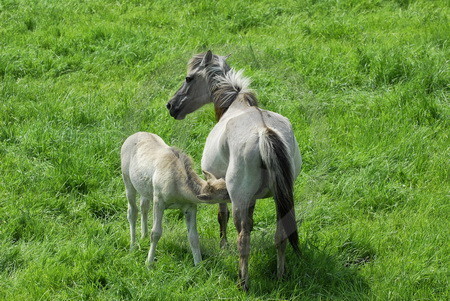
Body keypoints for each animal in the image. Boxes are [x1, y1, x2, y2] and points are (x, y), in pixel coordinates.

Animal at [120, 131, 229, 264]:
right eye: (225, 193)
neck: (178, 187)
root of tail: (131, 136)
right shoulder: (159, 201)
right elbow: (155, 233)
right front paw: (149, 263)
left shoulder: (190, 206)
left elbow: (193, 236)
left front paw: (198, 264)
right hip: (127, 180)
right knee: (132, 211)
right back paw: (132, 246)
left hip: (144, 189)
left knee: (143, 206)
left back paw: (143, 236)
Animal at [166, 51, 302, 288]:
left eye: (189, 78)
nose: (171, 105)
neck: (237, 104)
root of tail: (264, 132)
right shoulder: (252, 198)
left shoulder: (219, 187)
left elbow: (223, 216)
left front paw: (223, 246)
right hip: (281, 197)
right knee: (280, 235)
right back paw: (280, 275)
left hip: (239, 197)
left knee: (243, 239)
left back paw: (242, 282)